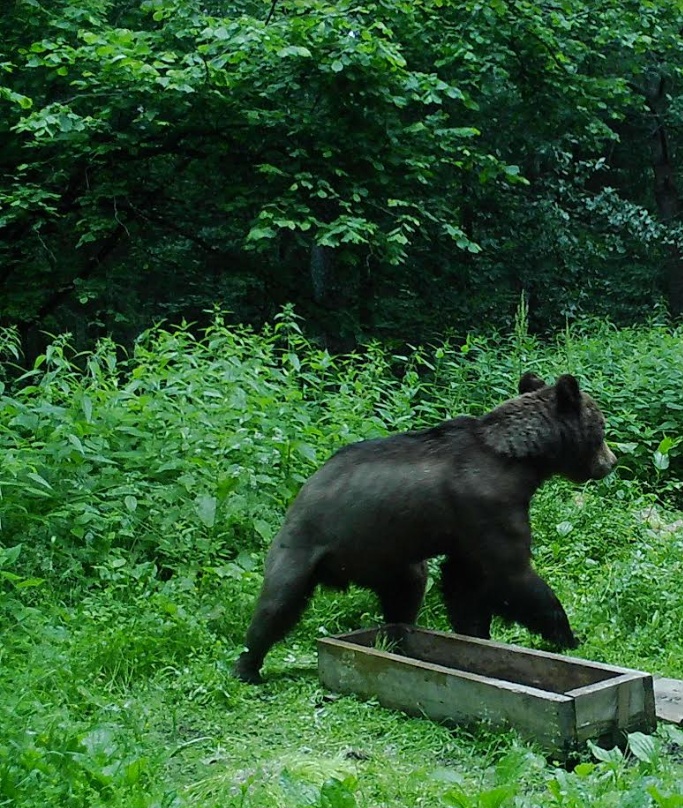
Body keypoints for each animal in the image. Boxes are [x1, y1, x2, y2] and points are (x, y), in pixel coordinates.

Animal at [234, 372, 616, 680]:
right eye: (601, 428)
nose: (610, 462)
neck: (520, 463)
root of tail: (303, 491)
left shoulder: (465, 530)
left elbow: (464, 583)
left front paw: (476, 633)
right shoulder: (487, 505)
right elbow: (511, 575)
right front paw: (567, 634)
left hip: (386, 555)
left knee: (407, 588)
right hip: (309, 545)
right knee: (277, 603)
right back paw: (248, 665)